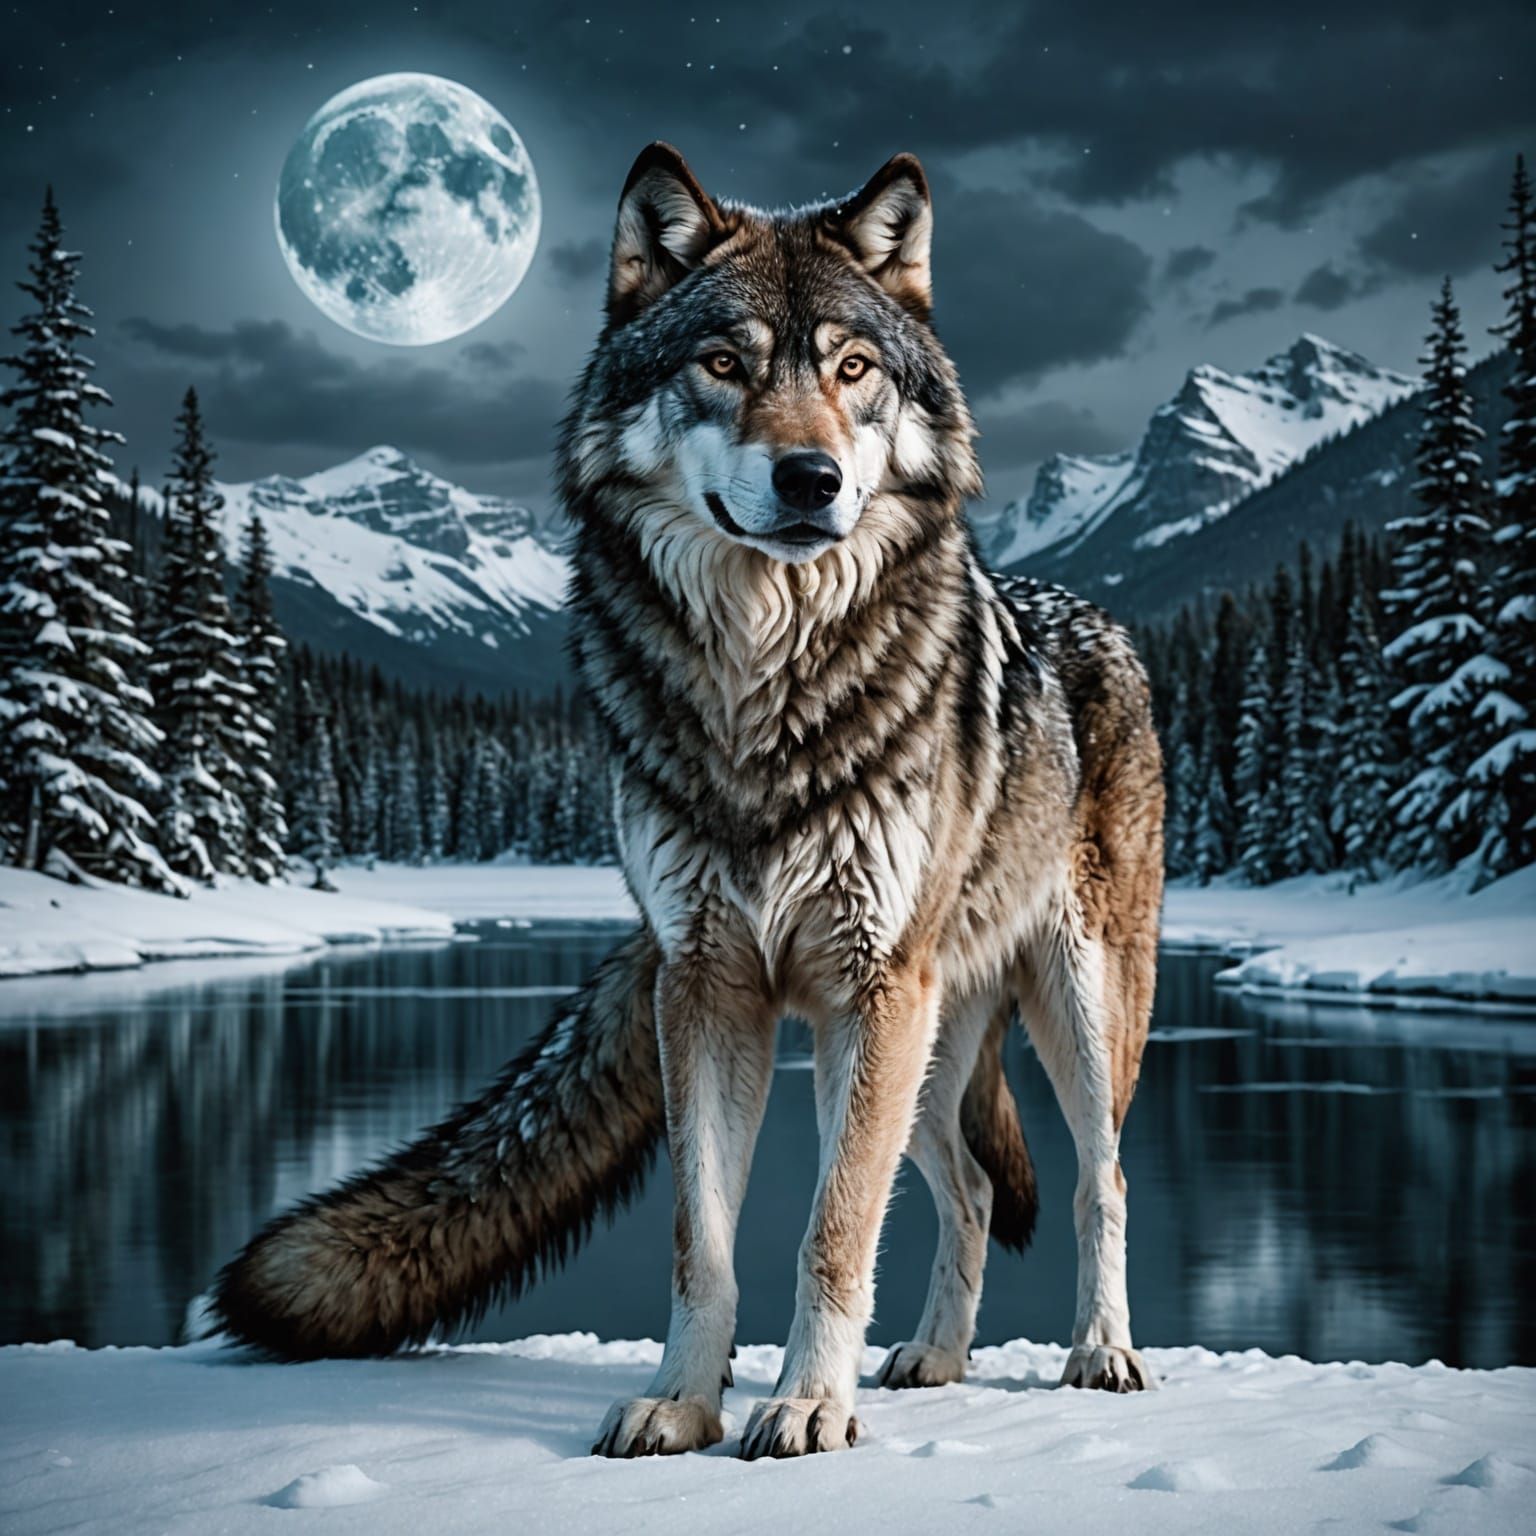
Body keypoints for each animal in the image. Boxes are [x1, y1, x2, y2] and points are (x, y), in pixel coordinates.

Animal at [210, 144, 1165, 1459]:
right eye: (724, 364)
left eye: (852, 370)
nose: (811, 478)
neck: (763, 693)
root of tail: (1100, 617)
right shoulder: (707, 985)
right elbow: (701, 1244)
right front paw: (685, 1403)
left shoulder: (870, 986)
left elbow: (830, 1233)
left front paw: (808, 1404)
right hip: (921, 1047)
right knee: (972, 1191)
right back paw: (935, 1359)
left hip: (1061, 1008)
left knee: (1100, 1182)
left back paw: (1101, 1351)